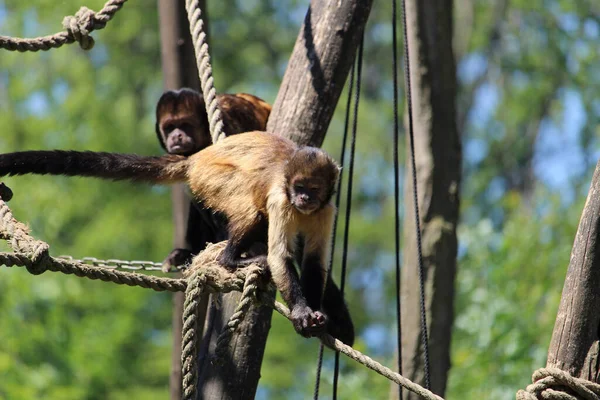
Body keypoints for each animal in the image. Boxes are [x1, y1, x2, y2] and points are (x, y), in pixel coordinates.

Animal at [0, 132, 356, 344]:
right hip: (211, 179)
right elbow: (280, 257)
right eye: (299, 187)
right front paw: (302, 312)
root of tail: (196, 158)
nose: (303, 199)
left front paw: (317, 315)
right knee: (251, 211)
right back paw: (232, 259)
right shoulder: (282, 198)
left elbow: (314, 263)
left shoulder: (327, 208)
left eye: (313, 190)